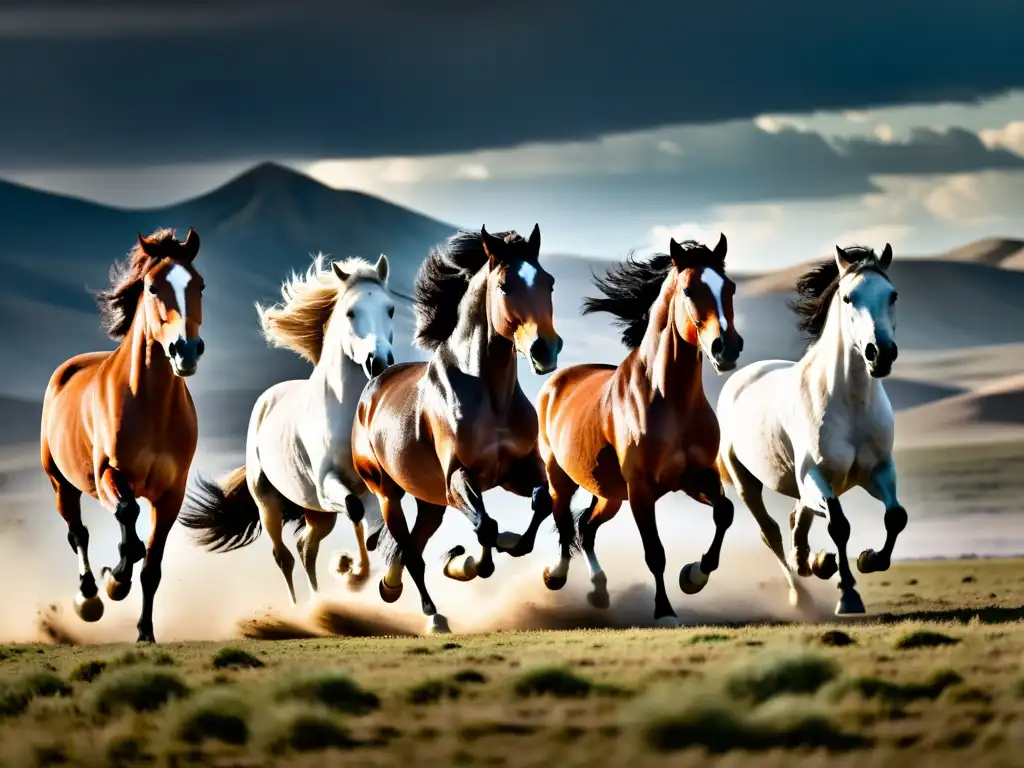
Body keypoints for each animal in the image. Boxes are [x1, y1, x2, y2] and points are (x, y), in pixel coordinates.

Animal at [39, 228, 205, 643]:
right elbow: (127, 516)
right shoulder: (107, 475)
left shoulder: (171, 495)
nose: (186, 350)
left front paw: (145, 632)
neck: (151, 407)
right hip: (61, 484)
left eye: (200, 285)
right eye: (152, 286)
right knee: (78, 533)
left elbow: (152, 566)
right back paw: (89, 598)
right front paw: (115, 581)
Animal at [181, 256, 395, 606]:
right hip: (269, 501)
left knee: (306, 547)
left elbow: (376, 529)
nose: (380, 361)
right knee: (284, 555)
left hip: (315, 510)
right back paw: (300, 608)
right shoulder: (327, 484)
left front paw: (357, 573)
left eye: (390, 309)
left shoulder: (371, 486)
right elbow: (356, 511)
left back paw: (321, 603)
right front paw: (353, 573)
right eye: (350, 312)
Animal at [350, 225, 561, 634]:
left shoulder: (516, 471)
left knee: (411, 547)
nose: (545, 350)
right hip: (388, 494)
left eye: (549, 282)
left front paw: (510, 544)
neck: (489, 394)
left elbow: (541, 502)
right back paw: (433, 615)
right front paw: (466, 565)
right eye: (505, 286)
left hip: (431, 502)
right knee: (411, 552)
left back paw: (390, 586)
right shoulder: (459, 478)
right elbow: (486, 527)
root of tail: (373, 387)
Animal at [536, 237, 745, 626]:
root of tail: (556, 382)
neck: (669, 399)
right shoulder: (642, 490)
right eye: (690, 290)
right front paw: (664, 611)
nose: (727, 348)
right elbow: (655, 552)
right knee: (564, 521)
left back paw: (599, 591)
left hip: (610, 495)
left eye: (730, 287)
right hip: (562, 478)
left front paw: (694, 575)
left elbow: (724, 513)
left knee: (587, 528)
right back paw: (555, 576)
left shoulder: (697, 477)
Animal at [716, 243, 901, 618]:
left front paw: (869, 559)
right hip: (747, 482)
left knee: (796, 518)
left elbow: (895, 517)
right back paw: (801, 593)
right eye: (848, 297)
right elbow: (839, 525)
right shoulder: (815, 473)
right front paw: (848, 595)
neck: (850, 401)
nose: (880, 354)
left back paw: (814, 563)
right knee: (771, 532)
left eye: (893, 295)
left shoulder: (878, 470)